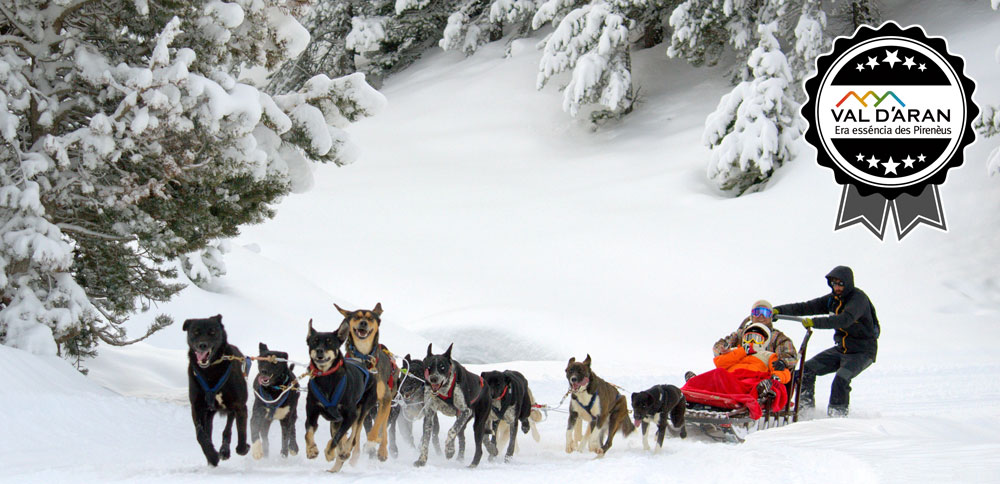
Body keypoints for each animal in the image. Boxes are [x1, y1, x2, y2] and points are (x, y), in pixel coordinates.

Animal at [336, 302, 398, 462]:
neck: (364, 357)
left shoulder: (385, 398)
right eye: (357, 317)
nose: (363, 322)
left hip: (388, 400)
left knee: (383, 425)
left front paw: (372, 442)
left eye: (370, 318)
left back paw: (382, 449)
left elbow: (377, 427)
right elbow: (353, 430)